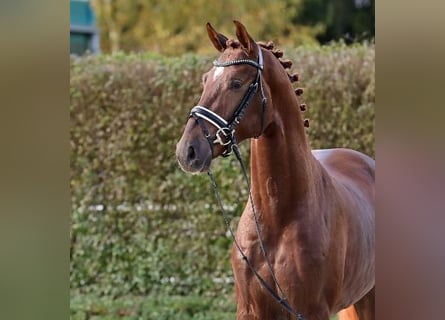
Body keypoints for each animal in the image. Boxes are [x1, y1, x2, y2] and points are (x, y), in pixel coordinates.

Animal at [175, 21, 372, 318]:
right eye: (205, 79)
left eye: (236, 83)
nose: (187, 151)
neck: (276, 215)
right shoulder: (250, 310)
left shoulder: (312, 311)